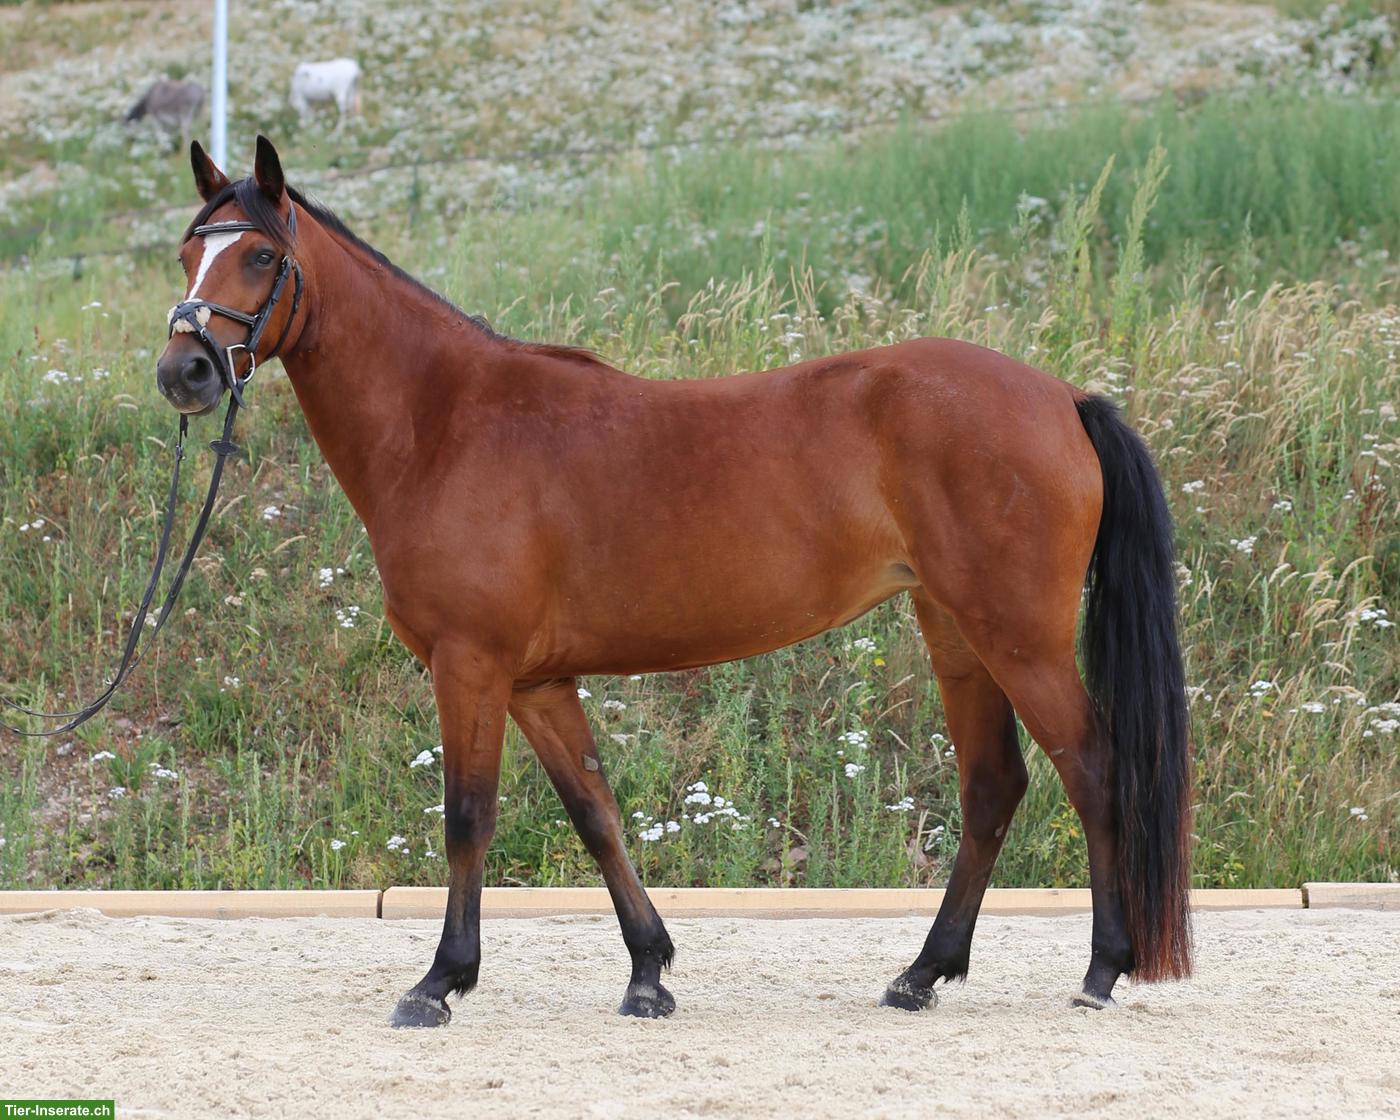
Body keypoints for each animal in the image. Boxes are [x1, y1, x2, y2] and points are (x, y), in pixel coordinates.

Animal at [156, 136, 1192, 1028]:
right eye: (187, 253)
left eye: (259, 256)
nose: (185, 371)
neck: (445, 422)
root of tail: (1062, 396)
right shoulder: (536, 681)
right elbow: (596, 814)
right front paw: (648, 972)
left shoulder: (471, 665)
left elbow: (467, 818)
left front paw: (440, 981)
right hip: (955, 629)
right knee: (992, 785)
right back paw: (921, 974)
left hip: (1017, 634)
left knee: (1093, 766)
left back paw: (1103, 969)